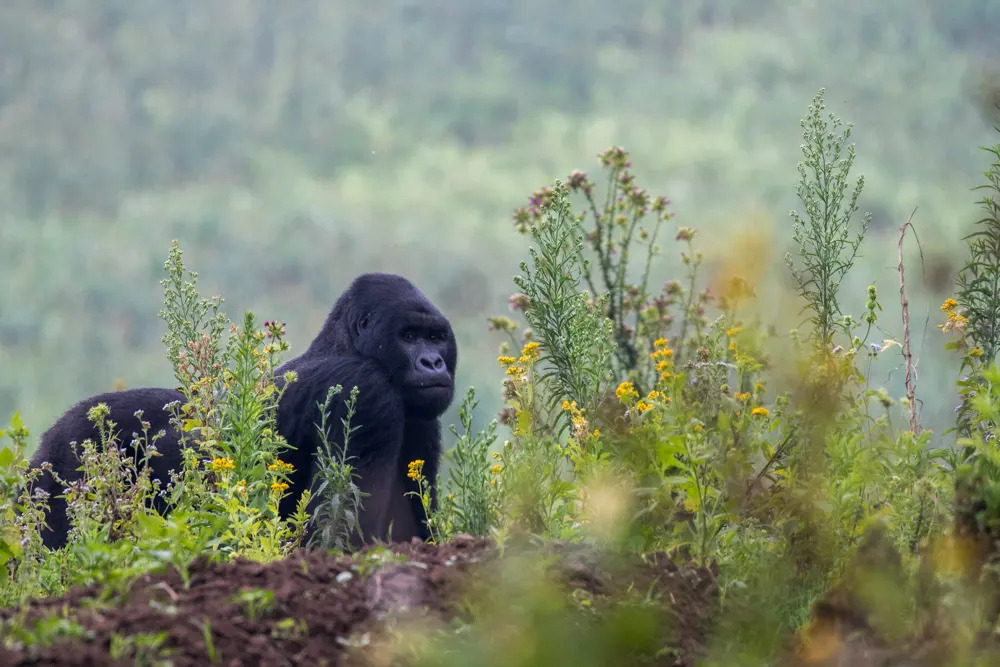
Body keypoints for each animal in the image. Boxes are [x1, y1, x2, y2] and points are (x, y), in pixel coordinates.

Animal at [27, 274, 458, 552]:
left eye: (436, 337)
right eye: (409, 336)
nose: (434, 363)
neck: (348, 345)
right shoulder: (366, 388)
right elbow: (335, 535)